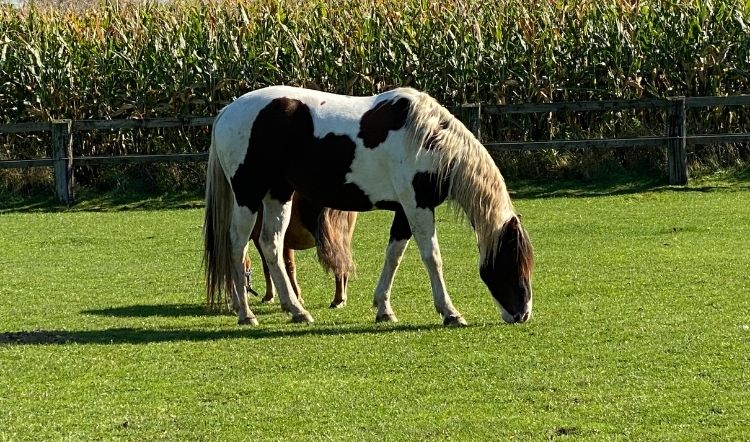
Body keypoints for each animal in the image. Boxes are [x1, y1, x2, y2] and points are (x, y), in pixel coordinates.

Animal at [204, 86, 536, 326]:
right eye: (512, 261)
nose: (523, 313)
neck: (427, 139)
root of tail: (227, 111)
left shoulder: (404, 212)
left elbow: (394, 256)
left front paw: (384, 309)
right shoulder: (417, 206)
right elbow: (432, 257)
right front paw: (450, 312)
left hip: (278, 193)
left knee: (271, 245)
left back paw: (297, 310)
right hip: (248, 196)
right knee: (238, 246)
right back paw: (246, 314)